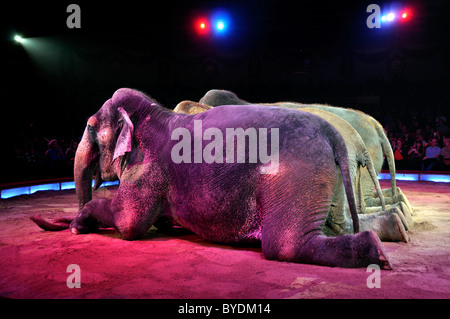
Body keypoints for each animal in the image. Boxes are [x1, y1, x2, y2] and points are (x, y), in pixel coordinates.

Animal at [31, 88, 392, 270]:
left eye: (91, 127)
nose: (74, 225)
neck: (153, 112)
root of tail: (333, 134)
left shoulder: (147, 167)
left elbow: (128, 223)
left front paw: (81, 223)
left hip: (295, 173)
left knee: (285, 245)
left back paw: (377, 252)